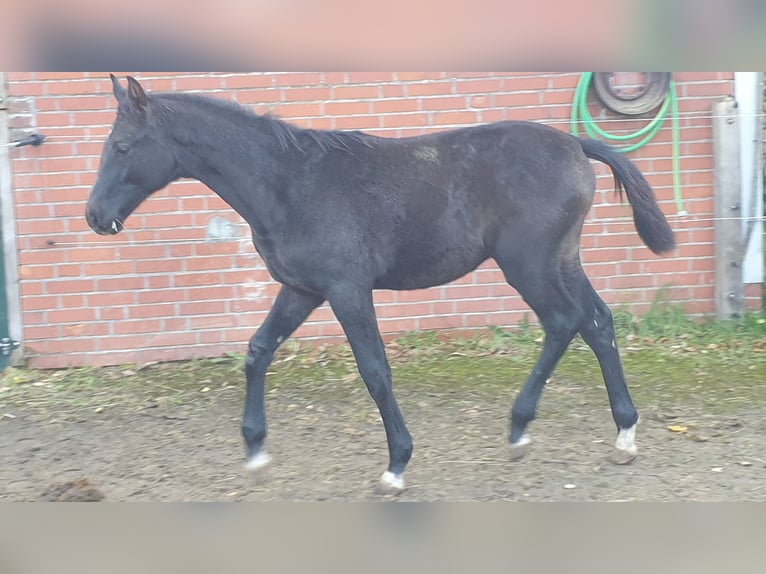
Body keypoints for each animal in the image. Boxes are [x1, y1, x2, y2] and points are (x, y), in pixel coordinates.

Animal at [85, 74, 680, 492]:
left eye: (122, 146)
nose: (95, 216)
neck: (289, 183)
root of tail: (577, 145)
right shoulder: (303, 289)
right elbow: (257, 350)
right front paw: (255, 453)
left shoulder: (348, 290)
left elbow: (375, 371)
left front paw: (396, 465)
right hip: (561, 261)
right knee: (597, 322)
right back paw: (621, 435)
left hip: (528, 265)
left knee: (564, 322)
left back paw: (521, 429)